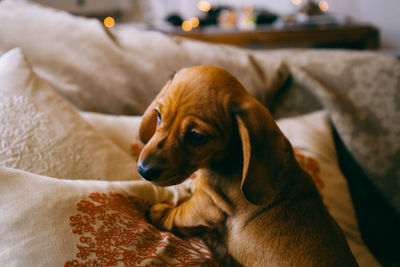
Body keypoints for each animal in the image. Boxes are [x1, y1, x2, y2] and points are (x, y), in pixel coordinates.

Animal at [136, 65, 358, 267]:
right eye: (158, 115)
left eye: (196, 136)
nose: (143, 170)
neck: (231, 161)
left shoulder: (205, 205)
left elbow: (178, 215)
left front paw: (160, 213)